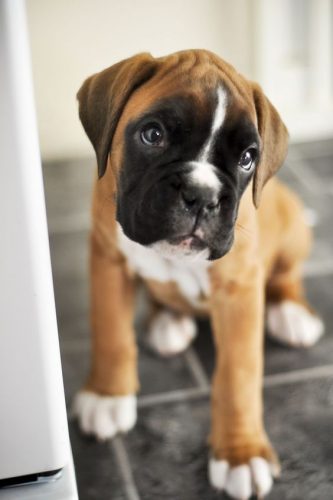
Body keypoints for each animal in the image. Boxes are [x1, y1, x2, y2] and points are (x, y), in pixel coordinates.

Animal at [71, 48, 322, 498]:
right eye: (152, 135)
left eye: (247, 158)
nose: (202, 196)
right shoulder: (106, 257)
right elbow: (110, 332)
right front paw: (106, 394)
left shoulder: (239, 290)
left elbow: (238, 376)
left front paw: (241, 454)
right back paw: (168, 321)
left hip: (292, 224)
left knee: (285, 274)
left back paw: (291, 313)